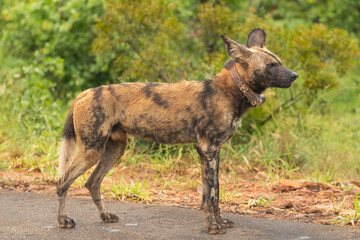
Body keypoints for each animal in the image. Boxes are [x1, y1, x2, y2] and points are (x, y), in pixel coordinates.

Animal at [57, 28, 298, 234]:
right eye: (271, 65)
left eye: (279, 62)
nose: (295, 75)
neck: (232, 91)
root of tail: (85, 92)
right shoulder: (207, 150)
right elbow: (210, 196)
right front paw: (213, 227)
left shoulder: (215, 152)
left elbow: (215, 192)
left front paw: (220, 221)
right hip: (92, 150)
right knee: (61, 182)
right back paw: (63, 220)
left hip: (114, 150)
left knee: (92, 182)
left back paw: (105, 216)